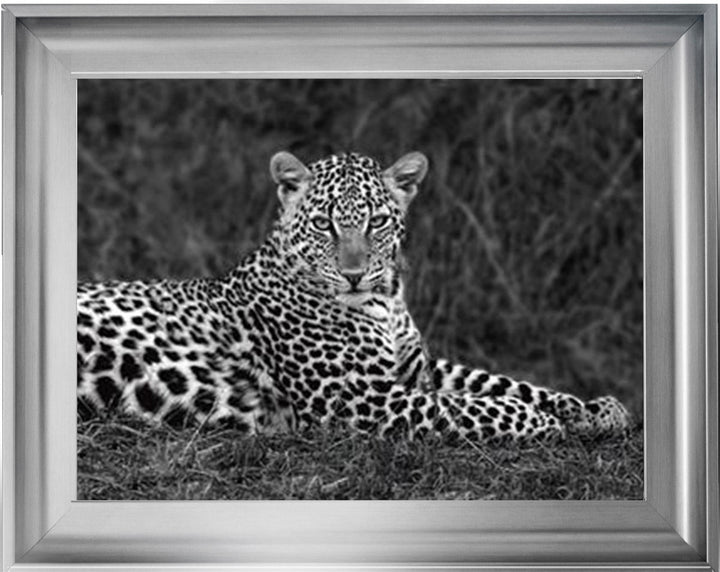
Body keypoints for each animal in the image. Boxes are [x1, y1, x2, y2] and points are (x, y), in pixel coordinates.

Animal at [77, 150, 632, 443]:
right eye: (324, 224)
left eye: (377, 221)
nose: (354, 275)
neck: (387, 300)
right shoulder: (356, 398)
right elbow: (471, 408)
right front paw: (545, 421)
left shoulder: (417, 369)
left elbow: (497, 382)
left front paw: (593, 408)